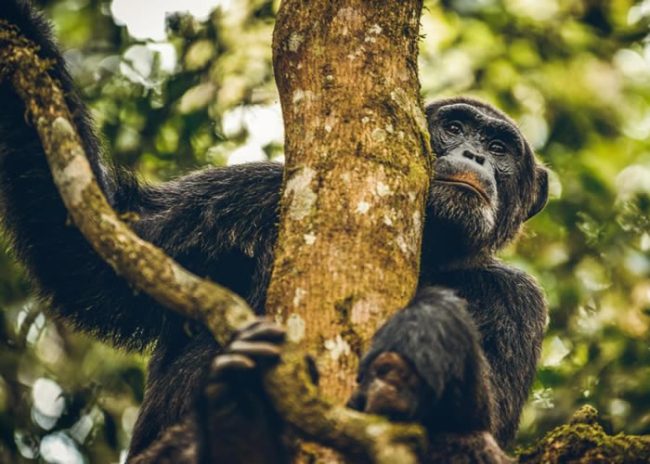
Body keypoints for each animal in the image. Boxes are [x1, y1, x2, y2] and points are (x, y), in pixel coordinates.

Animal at [0, 1, 548, 462]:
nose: (475, 154)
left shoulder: (519, 301)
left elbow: (492, 423)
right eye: (454, 128)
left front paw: (432, 325)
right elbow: (100, 248)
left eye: (499, 148)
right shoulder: (245, 198)